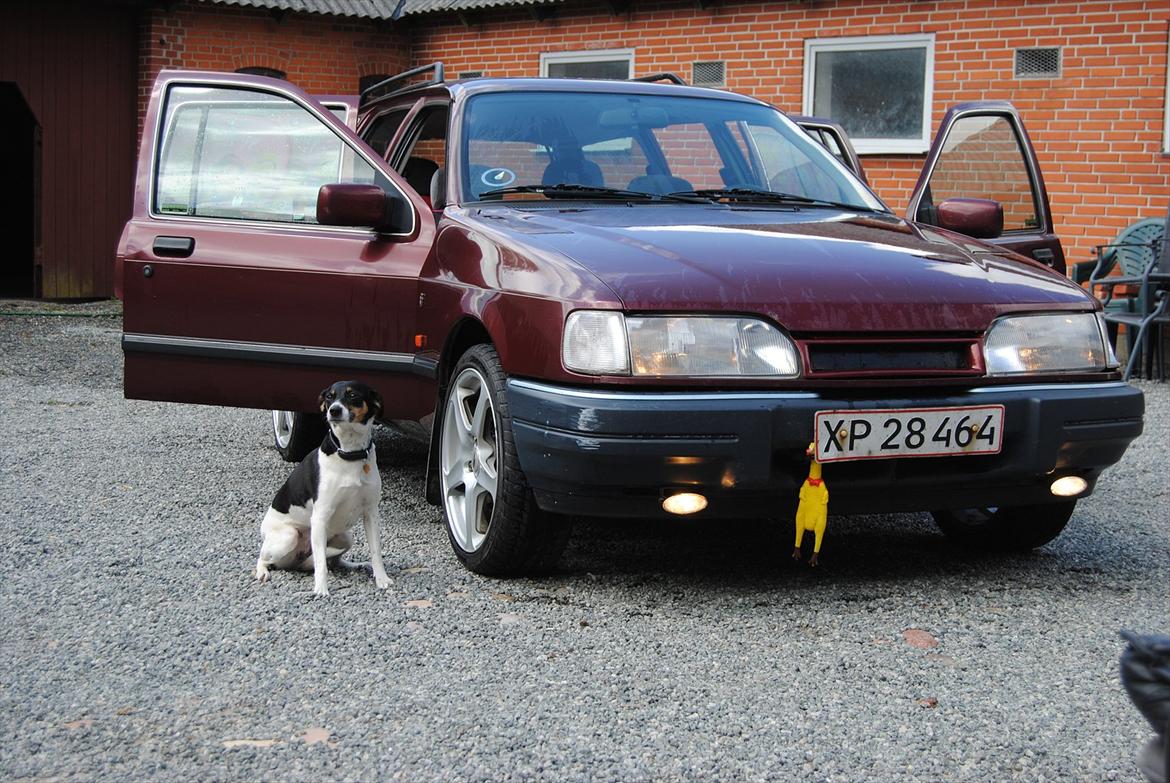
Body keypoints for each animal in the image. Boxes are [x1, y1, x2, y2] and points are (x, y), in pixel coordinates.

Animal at [255, 381, 390, 594]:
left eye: (352, 395)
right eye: (329, 396)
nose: (333, 410)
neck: (350, 453)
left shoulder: (370, 513)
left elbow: (376, 550)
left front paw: (382, 578)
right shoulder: (320, 517)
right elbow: (320, 563)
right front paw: (321, 589)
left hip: (346, 537)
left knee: (333, 561)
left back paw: (357, 565)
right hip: (288, 537)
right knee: (263, 558)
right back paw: (262, 571)